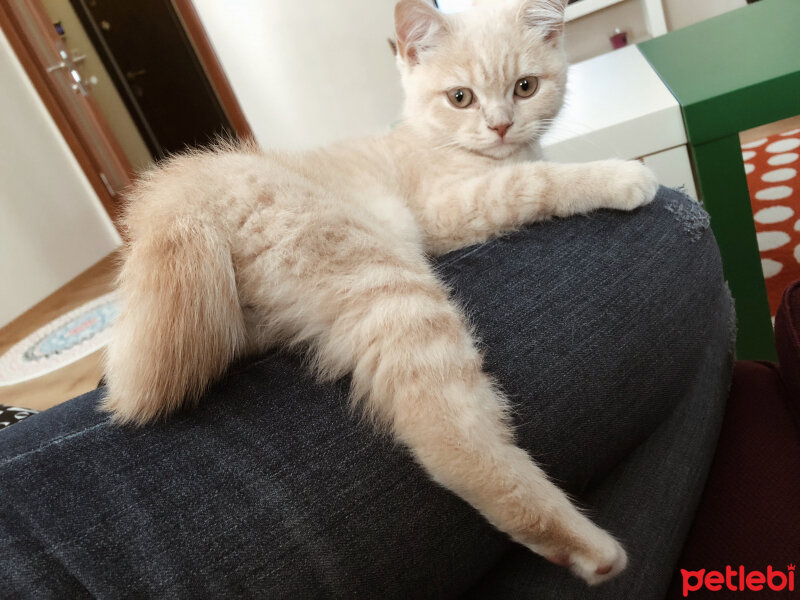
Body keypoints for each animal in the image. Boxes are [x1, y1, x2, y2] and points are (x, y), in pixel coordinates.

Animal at [104, 0, 656, 584]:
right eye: (460, 97)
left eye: (525, 87)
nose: (502, 125)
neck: (432, 139)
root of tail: (186, 188)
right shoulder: (449, 207)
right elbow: (536, 182)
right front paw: (618, 175)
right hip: (388, 280)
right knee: (443, 430)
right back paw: (589, 548)